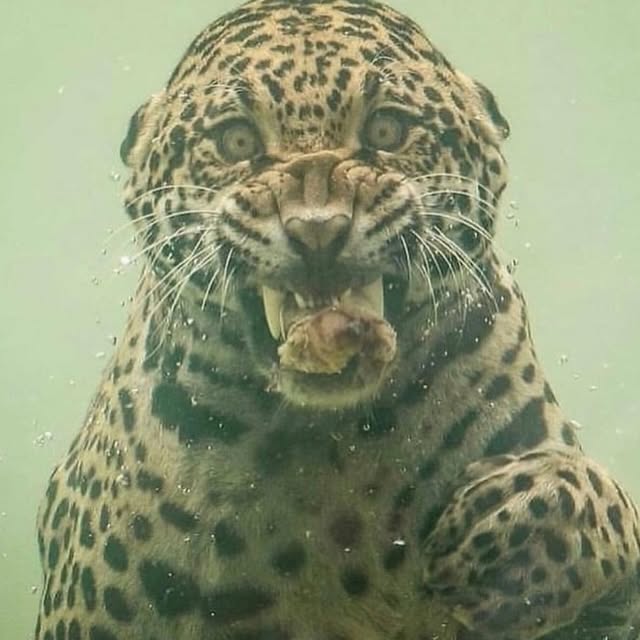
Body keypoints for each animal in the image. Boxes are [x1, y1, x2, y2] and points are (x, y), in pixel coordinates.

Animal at [34, 1, 640, 639]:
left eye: (385, 131)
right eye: (236, 139)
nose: (317, 229)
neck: (333, 449)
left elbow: (602, 500)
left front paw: (522, 522)